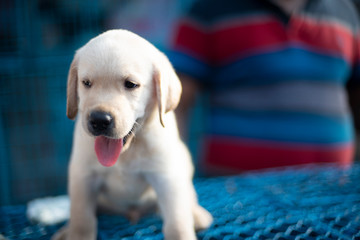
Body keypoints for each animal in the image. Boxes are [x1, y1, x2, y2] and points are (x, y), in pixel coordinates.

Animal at [52, 30, 212, 240]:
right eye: (86, 83)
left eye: (131, 84)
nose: (99, 120)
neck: (127, 152)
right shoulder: (83, 176)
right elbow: (82, 219)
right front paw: (77, 233)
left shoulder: (167, 176)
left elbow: (177, 221)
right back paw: (66, 230)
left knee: (188, 195)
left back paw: (196, 214)